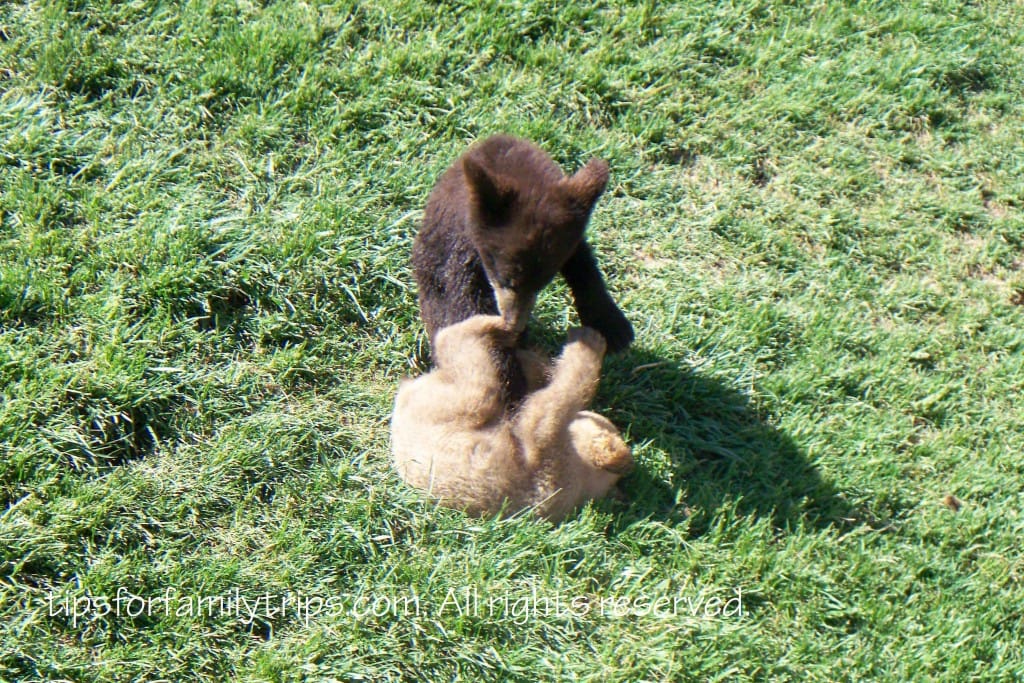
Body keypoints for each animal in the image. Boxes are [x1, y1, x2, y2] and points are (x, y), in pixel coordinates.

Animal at [390, 314, 634, 523]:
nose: (586, 414)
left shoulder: (551, 454)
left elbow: (550, 403)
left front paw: (589, 341)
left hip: (449, 406)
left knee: (469, 363)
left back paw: (501, 324)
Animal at [411, 134, 633, 404]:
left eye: (542, 285)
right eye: (507, 279)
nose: (513, 326)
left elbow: (581, 260)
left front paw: (613, 327)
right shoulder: (459, 247)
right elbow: (462, 302)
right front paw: (506, 378)